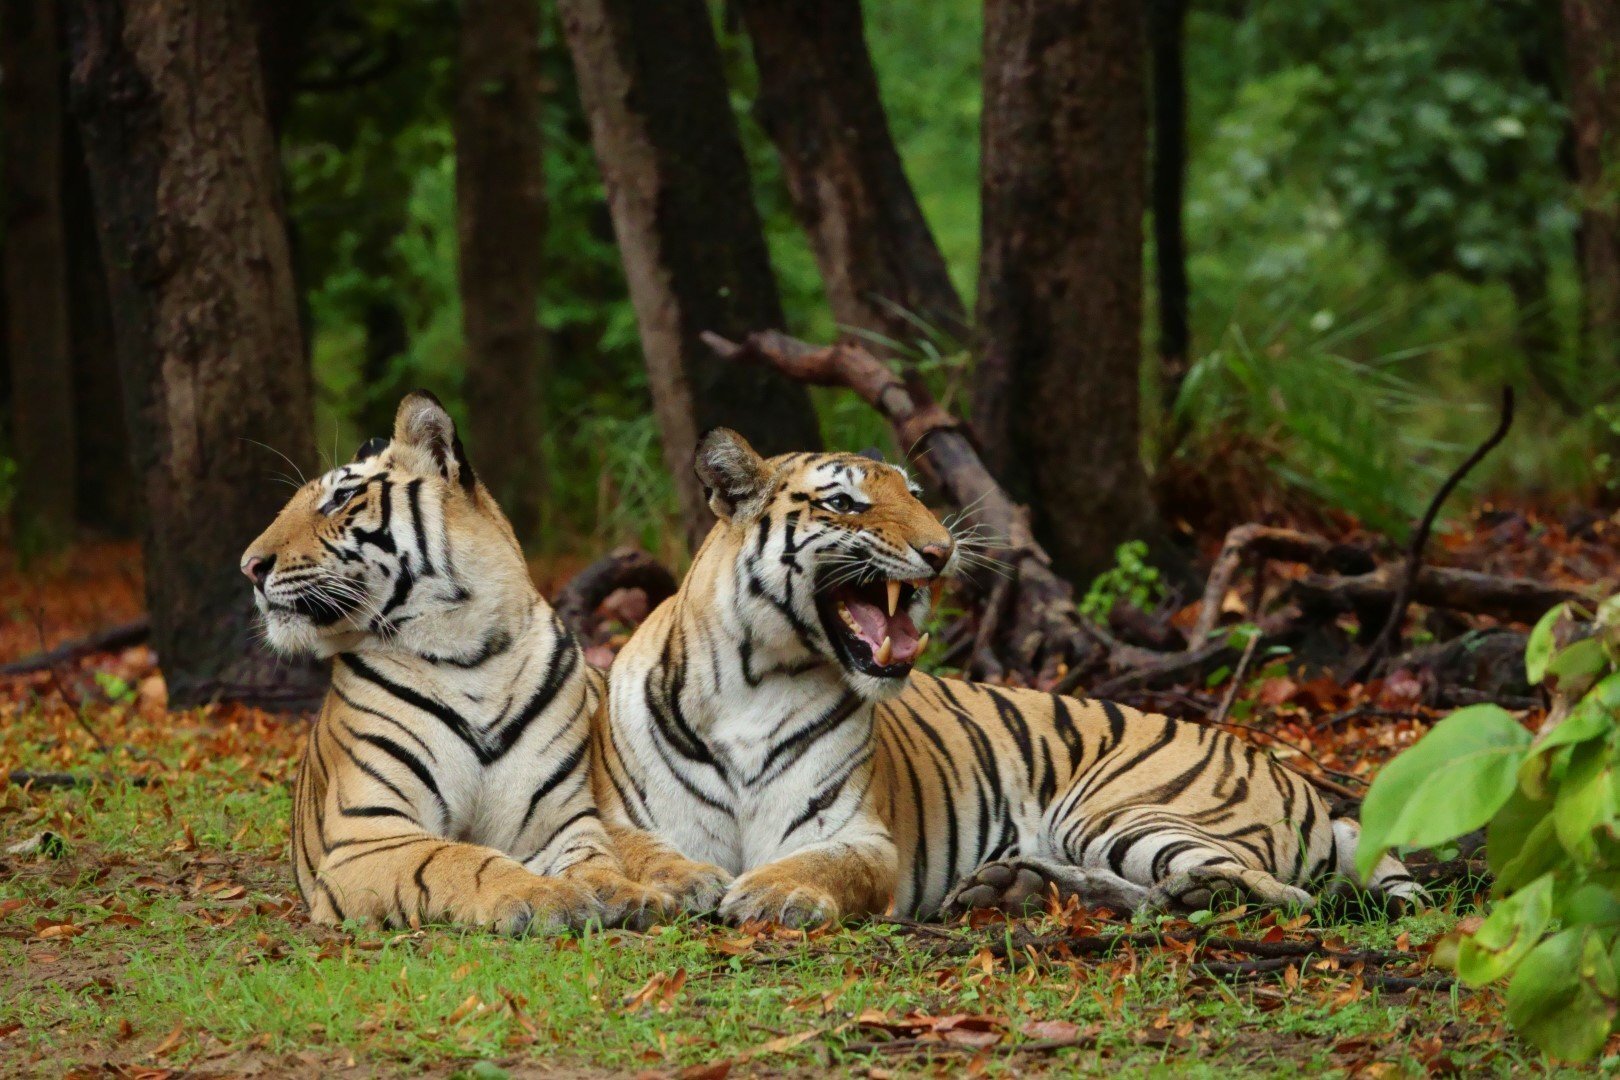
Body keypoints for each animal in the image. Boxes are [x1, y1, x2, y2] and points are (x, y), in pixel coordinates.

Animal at [242, 390, 723, 934]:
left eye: (340, 499)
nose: (249, 567)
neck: (468, 655)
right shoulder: (369, 832)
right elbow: (457, 858)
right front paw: (544, 896)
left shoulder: (555, 819)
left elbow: (593, 857)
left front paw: (617, 892)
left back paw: (691, 877)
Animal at [592, 428, 1425, 926]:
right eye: (846, 502)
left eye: (916, 497)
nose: (940, 551)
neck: (755, 680)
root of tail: (1300, 781)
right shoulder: (630, 815)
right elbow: (646, 852)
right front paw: (686, 883)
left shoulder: (856, 833)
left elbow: (826, 864)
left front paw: (770, 892)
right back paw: (1017, 885)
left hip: (1123, 810)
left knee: (1274, 893)